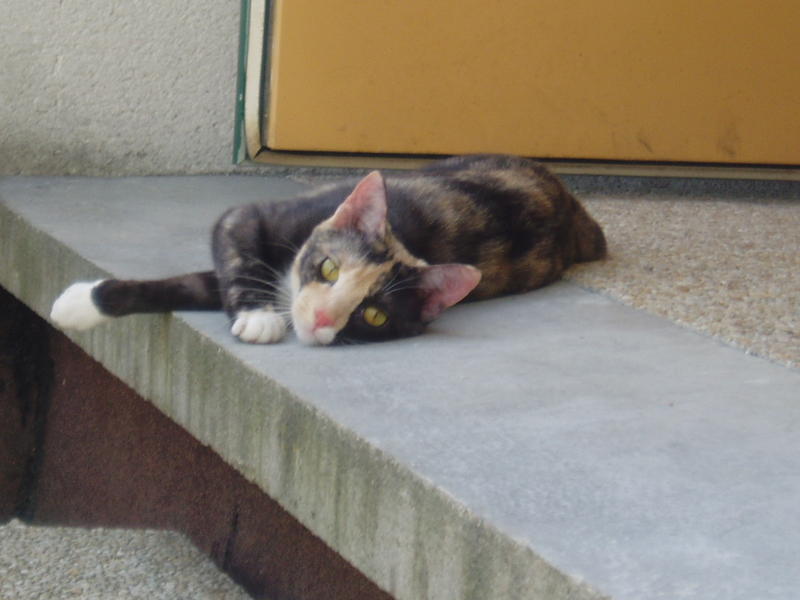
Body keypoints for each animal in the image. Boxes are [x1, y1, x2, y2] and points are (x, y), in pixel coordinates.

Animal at [50, 155, 606, 346]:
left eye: (374, 316)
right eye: (329, 267)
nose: (320, 319)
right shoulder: (252, 219)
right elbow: (226, 264)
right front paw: (81, 303)